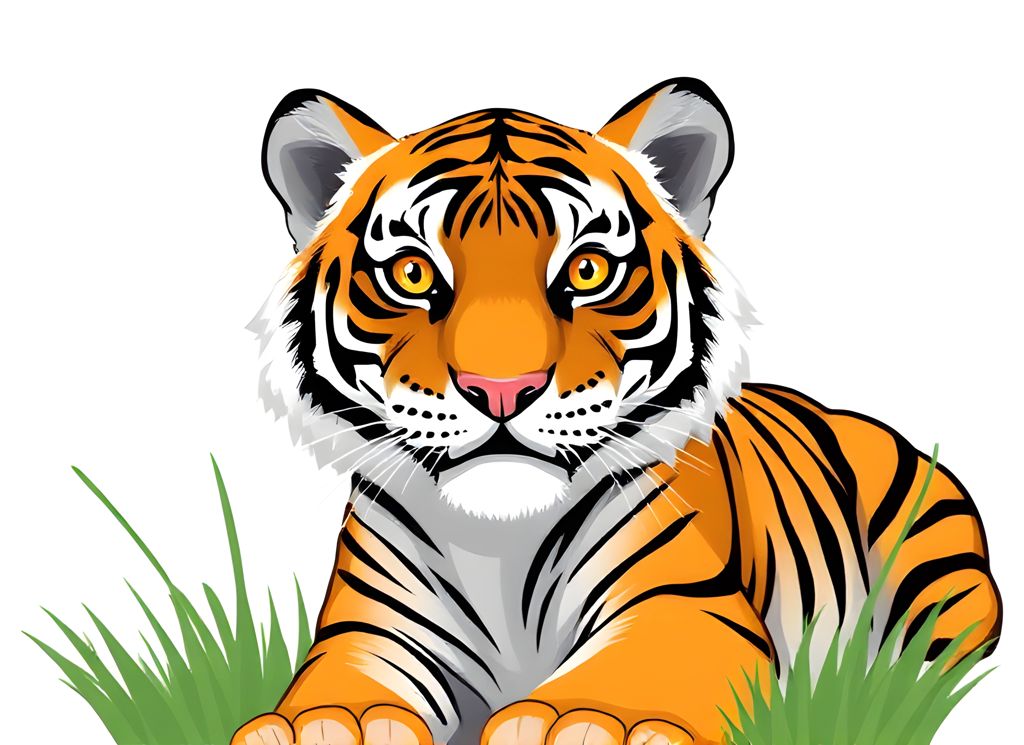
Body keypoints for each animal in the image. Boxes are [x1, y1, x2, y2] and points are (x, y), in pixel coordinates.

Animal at [234, 79, 1001, 745]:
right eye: (413, 273)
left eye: (588, 269)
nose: (502, 388)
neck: (497, 545)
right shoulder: (371, 632)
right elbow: (342, 690)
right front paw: (325, 726)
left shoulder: (685, 602)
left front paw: (590, 721)